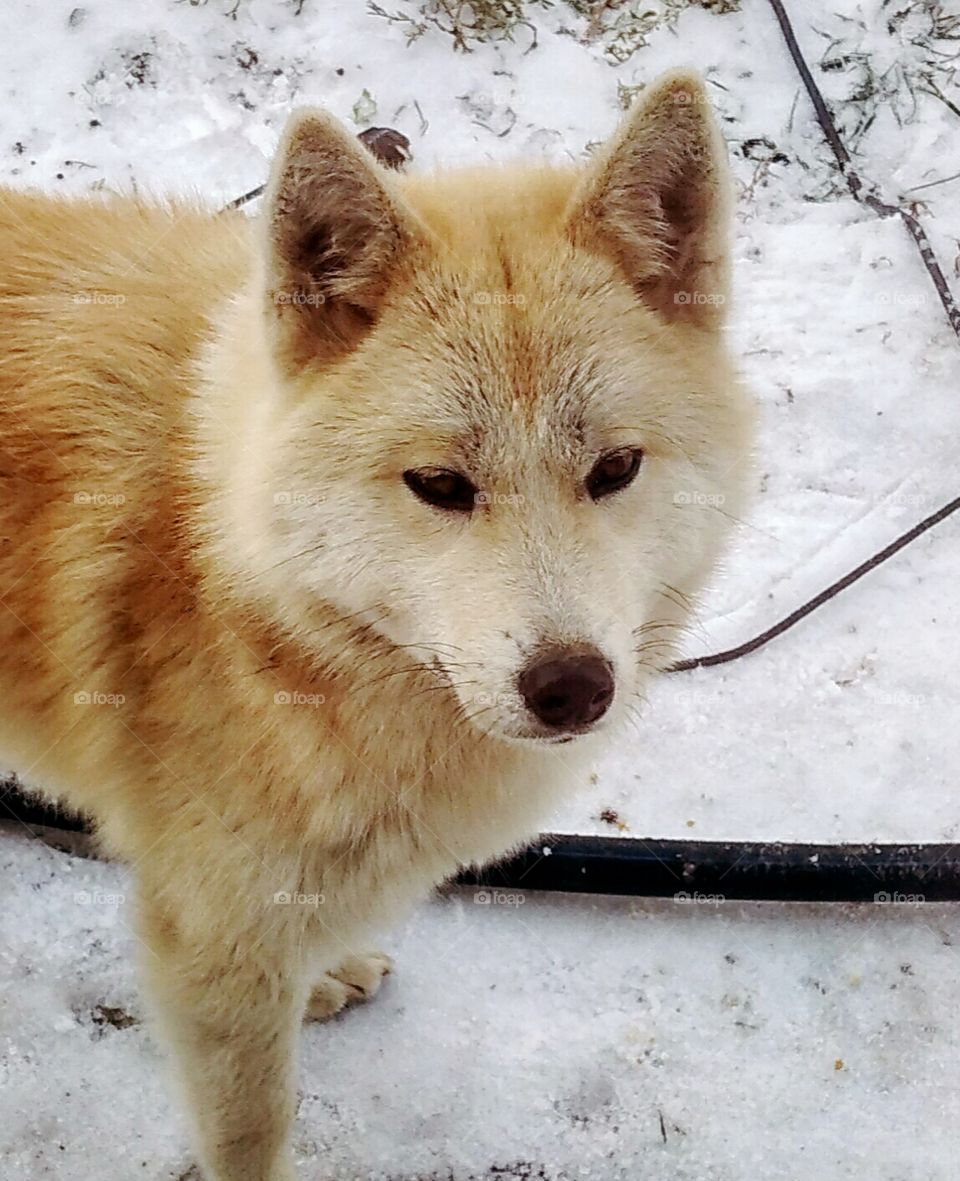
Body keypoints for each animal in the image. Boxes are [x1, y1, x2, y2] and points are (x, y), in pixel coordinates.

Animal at [0, 71, 750, 1181]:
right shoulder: (211, 940)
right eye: (438, 484)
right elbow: (252, 1127)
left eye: (615, 468)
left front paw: (322, 975)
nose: (573, 686)